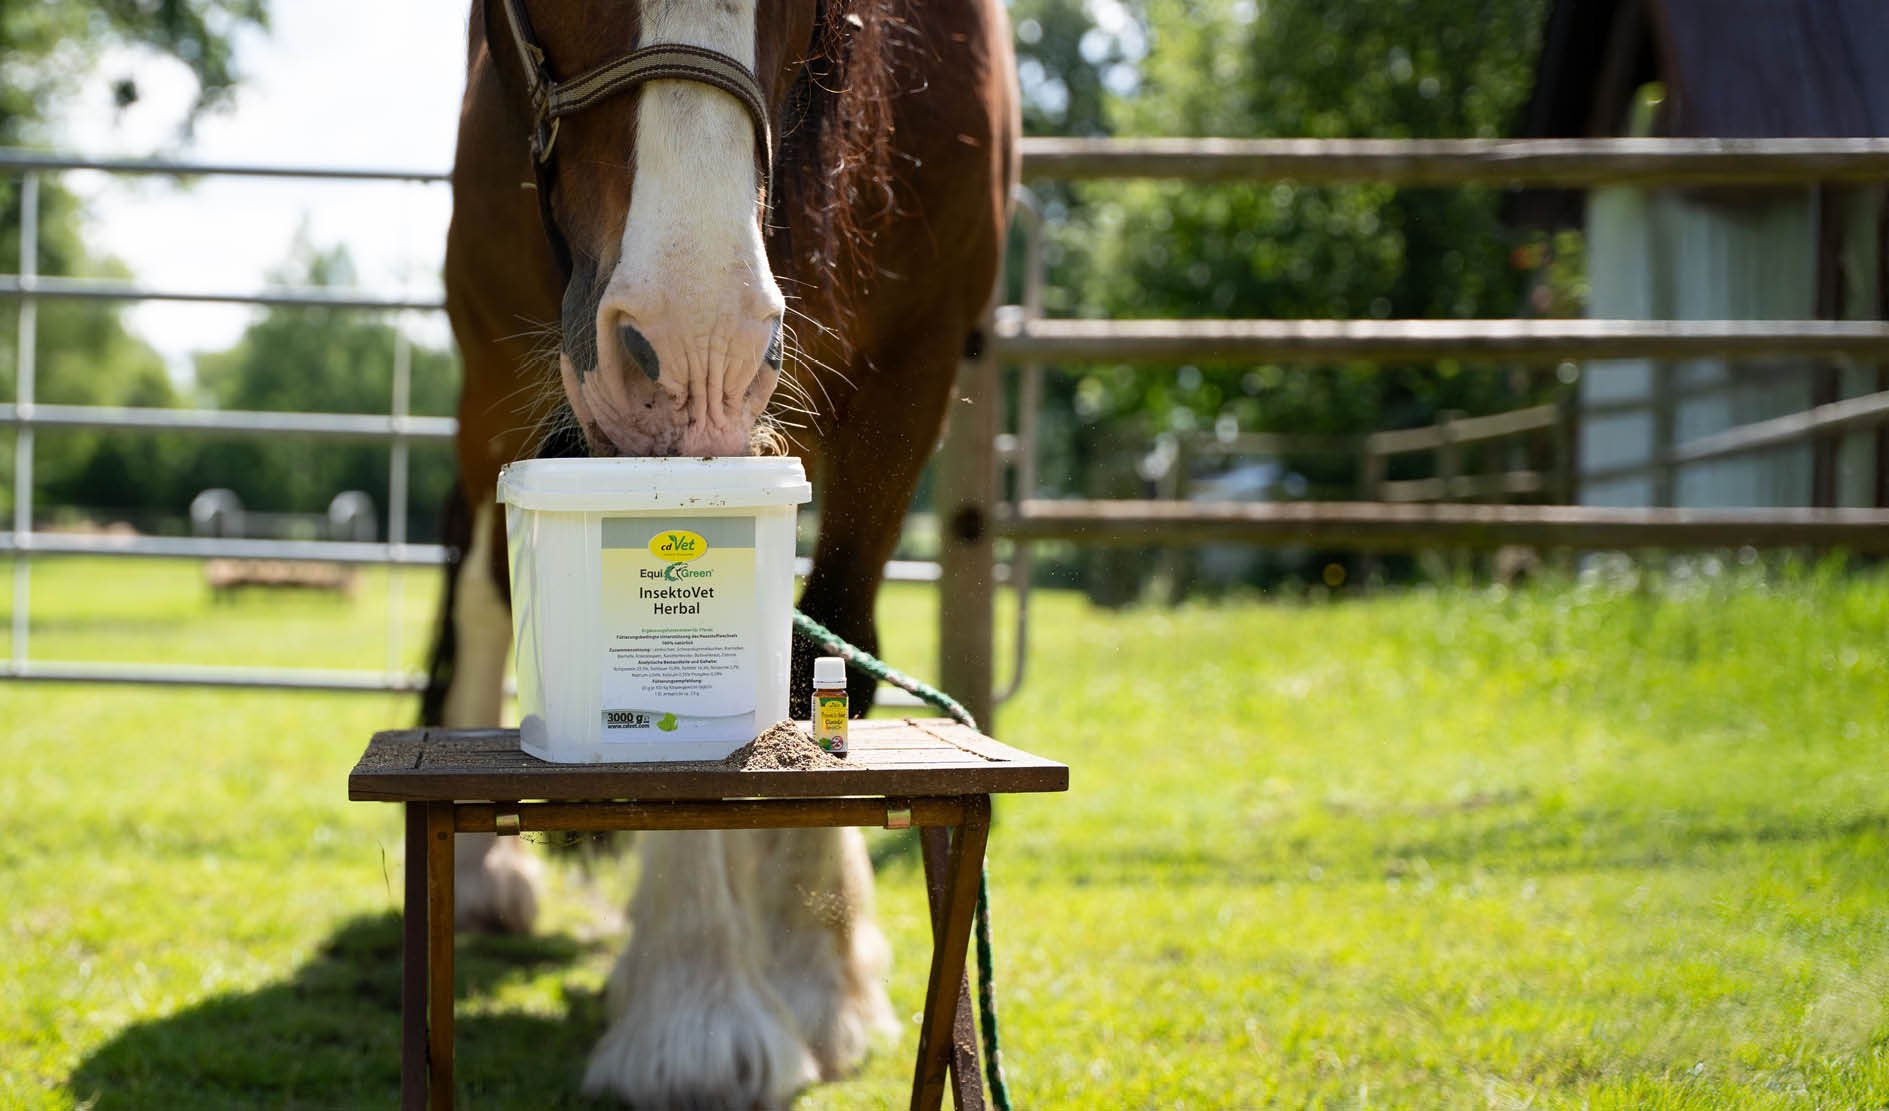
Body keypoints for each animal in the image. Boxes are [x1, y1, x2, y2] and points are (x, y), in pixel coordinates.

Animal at [422, 0, 1017, 1104]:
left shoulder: (910, 371)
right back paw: (489, 878)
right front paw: (694, 1012)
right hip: (490, 379)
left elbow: (823, 646)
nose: (698, 349)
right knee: (486, 589)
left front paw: (816, 961)